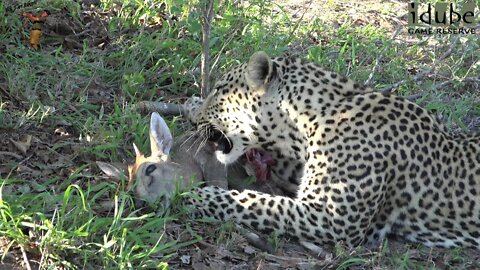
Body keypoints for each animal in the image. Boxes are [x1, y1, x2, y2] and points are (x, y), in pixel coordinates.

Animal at [187, 51, 480, 251]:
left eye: (218, 90)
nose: (195, 121)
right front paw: (191, 105)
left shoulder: (330, 218)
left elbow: (260, 203)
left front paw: (200, 197)